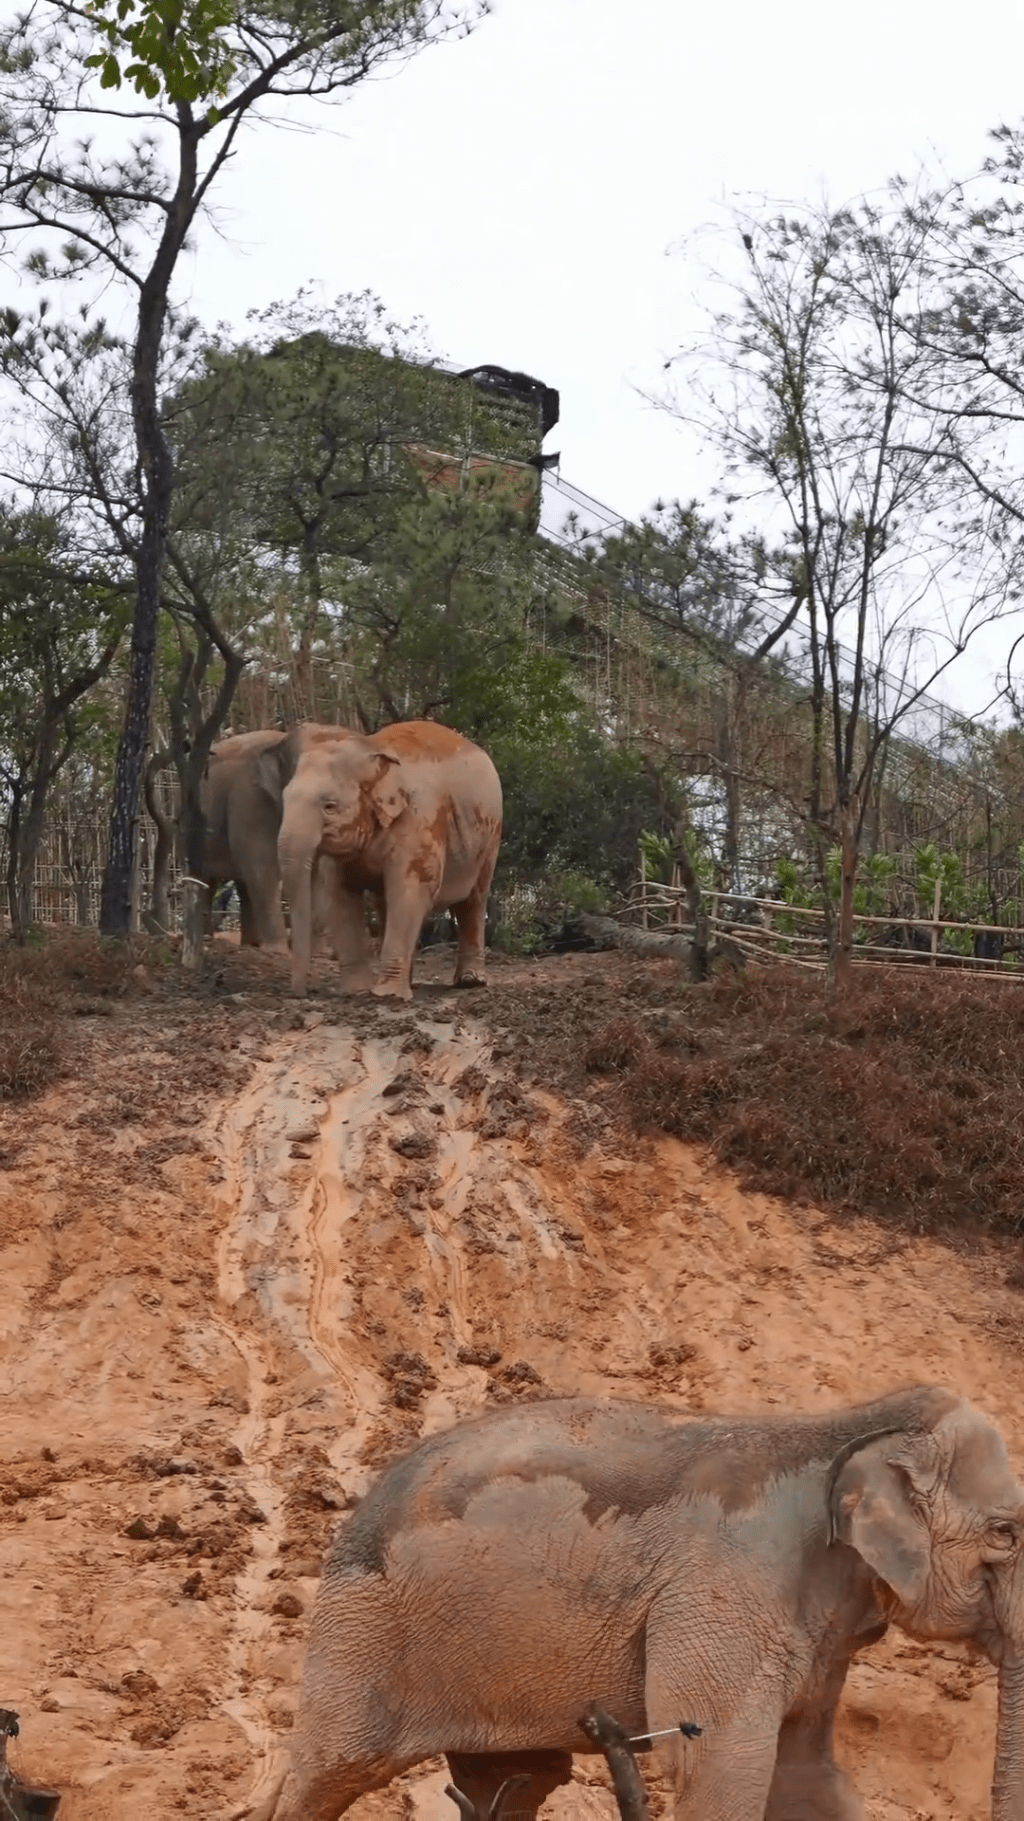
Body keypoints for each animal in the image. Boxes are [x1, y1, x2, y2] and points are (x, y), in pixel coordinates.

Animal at [245, 1376, 1020, 1821]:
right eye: (1007, 1533)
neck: (851, 1423)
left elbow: (806, 1776)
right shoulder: (729, 1588)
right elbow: (720, 1764)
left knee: (515, 1785)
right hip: (363, 1627)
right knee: (329, 1772)